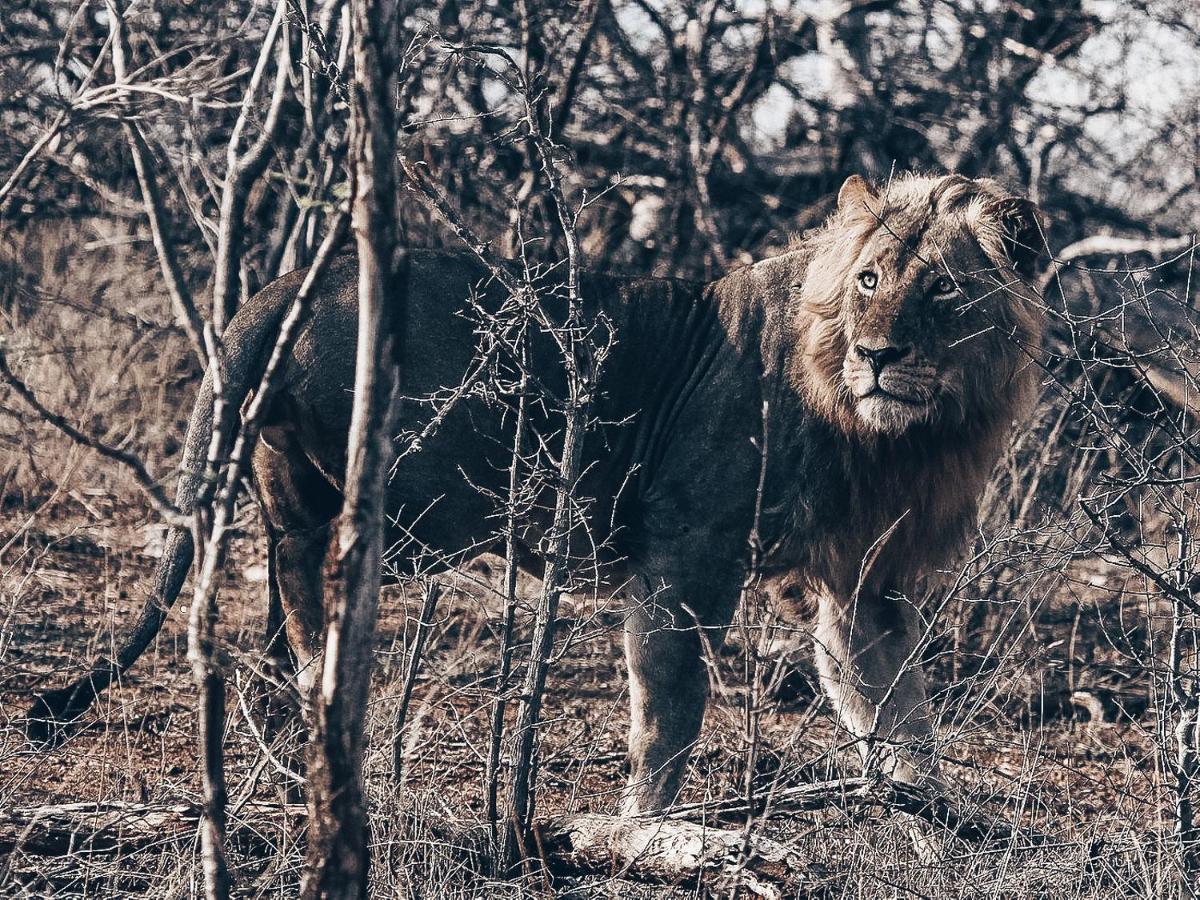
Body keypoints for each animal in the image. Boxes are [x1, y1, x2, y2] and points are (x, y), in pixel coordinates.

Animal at [25, 170, 1041, 816]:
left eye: (943, 296)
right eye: (869, 280)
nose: (878, 355)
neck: (898, 436)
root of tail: (278, 291)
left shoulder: (865, 580)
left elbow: (898, 710)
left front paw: (931, 818)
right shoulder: (689, 547)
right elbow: (669, 708)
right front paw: (644, 827)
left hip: (292, 506)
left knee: (280, 628)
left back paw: (290, 765)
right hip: (372, 515)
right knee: (315, 639)